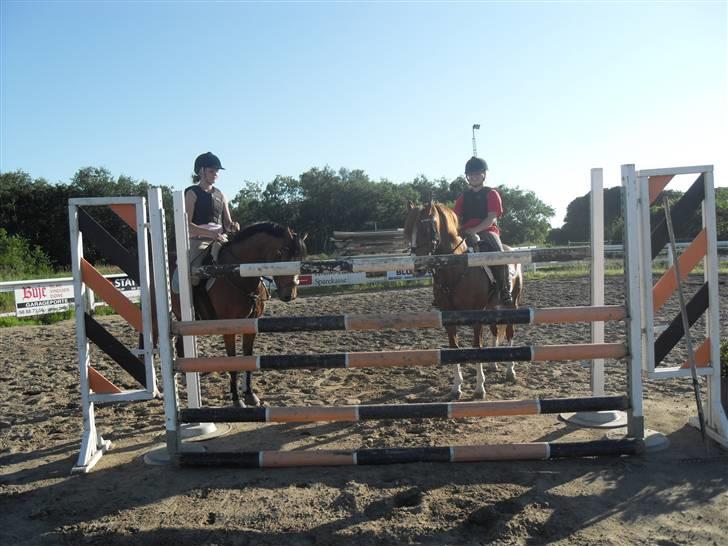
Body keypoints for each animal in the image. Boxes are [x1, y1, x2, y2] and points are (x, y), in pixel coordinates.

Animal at [404, 200, 524, 396]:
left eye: (426, 230)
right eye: (407, 231)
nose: (417, 267)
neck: (456, 268)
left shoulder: (476, 314)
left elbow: (477, 346)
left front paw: (479, 388)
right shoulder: (448, 315)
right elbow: (454, 347)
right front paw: (456, 387)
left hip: (512, 304)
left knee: (509, 332)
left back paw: (510, 371)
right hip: (491, 307)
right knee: (495, 331)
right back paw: (493, 364)